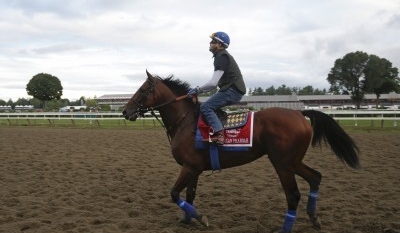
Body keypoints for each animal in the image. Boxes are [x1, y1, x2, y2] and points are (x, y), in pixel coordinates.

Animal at [121, 71, 360, 233]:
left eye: (142, 90)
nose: (125, 111)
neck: (185, 121)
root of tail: (300, 114)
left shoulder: (189, 167)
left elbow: (174, 193)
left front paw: (201, 218)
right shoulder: (194, 169)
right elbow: (189, 195)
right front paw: (187, 220)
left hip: (282, 164)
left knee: (293, 195)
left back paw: (286, 228)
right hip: (292, 162)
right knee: (315, 178)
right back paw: (314, 218)